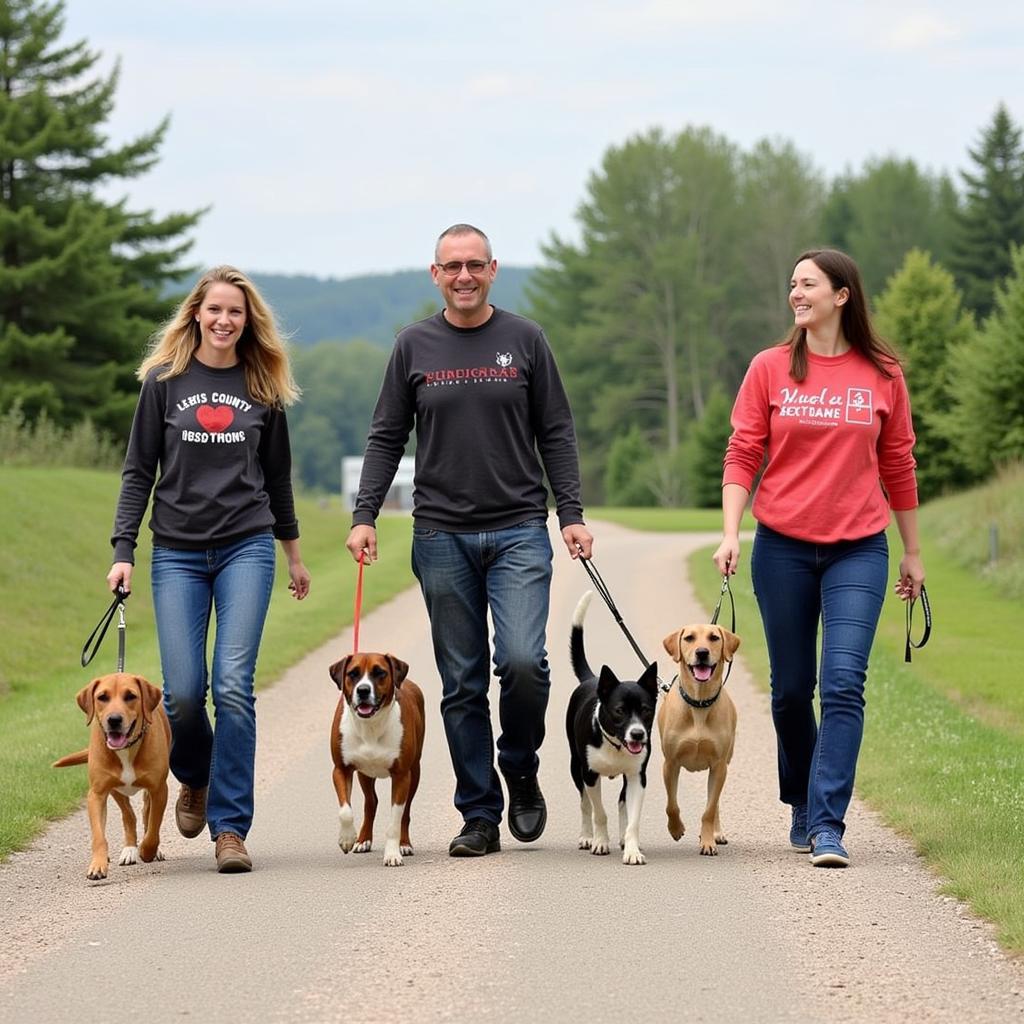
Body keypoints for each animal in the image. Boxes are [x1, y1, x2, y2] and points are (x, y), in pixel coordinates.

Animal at [54, 671, 171, 880]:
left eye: (130, 696)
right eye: (102, 697)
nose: (114, 719)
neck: (126, 749)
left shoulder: (159, 789)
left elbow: (153, 827)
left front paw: (148, 851)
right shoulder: (97, 794)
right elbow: (99, 835)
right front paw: (98, 864)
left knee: (145, 814)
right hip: (116, 790)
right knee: (129, 815)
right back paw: (129, 849)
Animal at [327, 655, 423, 864]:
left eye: (380, 672)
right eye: (352, 673)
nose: (363, 690)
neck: (370, 725)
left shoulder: (402, 775)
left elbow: (395, 820)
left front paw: (392, 854)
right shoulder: (340, 769)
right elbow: (345, 811)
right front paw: (347, 838)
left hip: (414, 772)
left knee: (406, 812)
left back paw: (404, 844)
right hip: (365, 774)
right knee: (371, 802)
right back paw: (363, 840)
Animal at [565, 593, 659, 864]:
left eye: (646, 710)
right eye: (619, 711)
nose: (637, 734)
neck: (615, 745)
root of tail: (593, 679)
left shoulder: (638, 776)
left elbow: (633, 818)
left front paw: (632, 850)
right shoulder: (589, 774)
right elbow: (598, 812)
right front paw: (599, 842)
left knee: (621, 801)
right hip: (575, 765)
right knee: (585, 803)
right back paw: (587, 837)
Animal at [659, 622, 741, 856]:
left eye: (714, 637)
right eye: (689, 638)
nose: (702, 652)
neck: (699, 702)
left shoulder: (719, 766)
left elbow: (709, 810)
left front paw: (707, 841)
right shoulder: (670, 763)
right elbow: (671, 804)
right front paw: (676, 829)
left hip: (723, 766)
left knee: (715, 803)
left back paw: (716, 833)